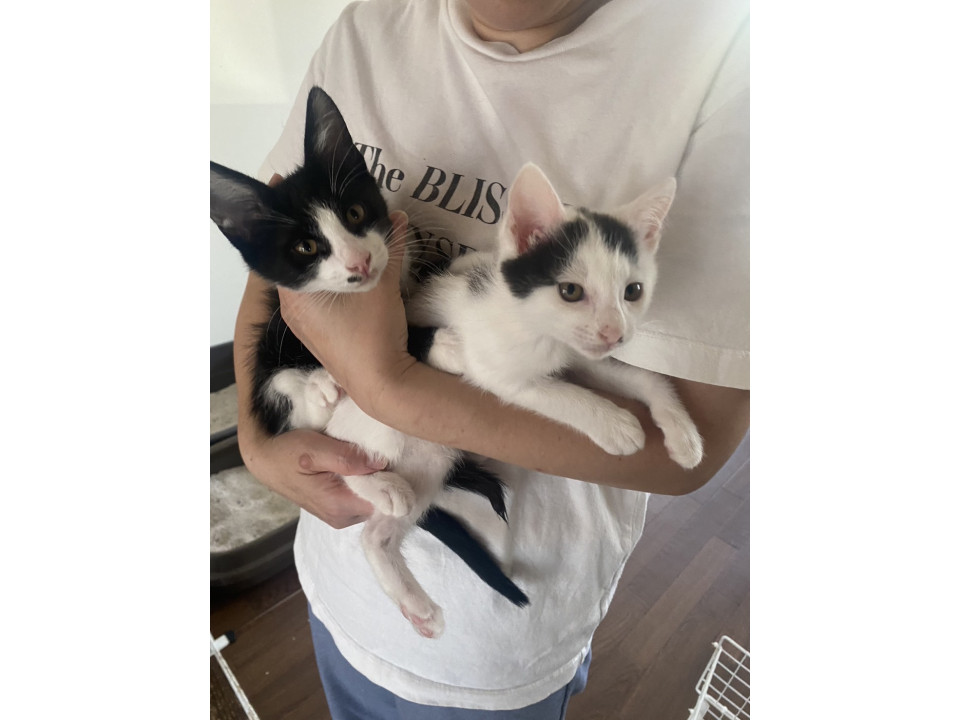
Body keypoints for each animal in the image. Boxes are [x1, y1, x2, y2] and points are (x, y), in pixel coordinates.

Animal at [210, 86, 528, 639]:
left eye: (356, 213)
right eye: (307, 246)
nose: (359, 262)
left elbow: (427, 286)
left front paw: (464, 273)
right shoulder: (276, 343)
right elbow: (285, 386)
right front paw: (318, 382)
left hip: (433, 456)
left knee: (377, 530)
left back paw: (412, 596)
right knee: (345, 456)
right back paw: (376, 480)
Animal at [406, 163, 704, 470]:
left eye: (633, 291)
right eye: (570, 291)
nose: (614, 334)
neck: (538, 327)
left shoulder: (579, 351)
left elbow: (644, 377)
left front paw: (683, 432)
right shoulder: (496, 370)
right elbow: (557, 394)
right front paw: (615, 425)